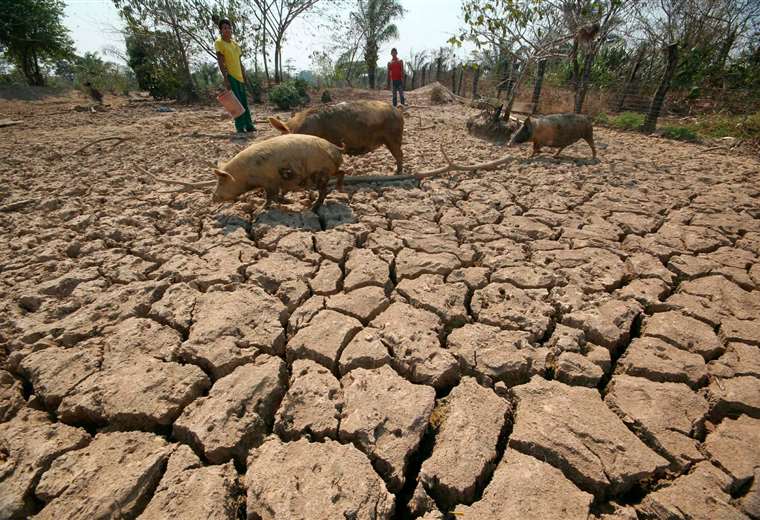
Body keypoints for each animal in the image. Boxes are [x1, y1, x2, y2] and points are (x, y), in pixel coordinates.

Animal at [214, 134, 344, 211]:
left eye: (221, 182)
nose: (213, 198)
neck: (244, 174)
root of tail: (335, 147)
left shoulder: (269, 182)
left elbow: (271, 197)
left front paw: (260, 209)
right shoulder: (274, 183)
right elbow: (276, 195)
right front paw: (288, 201)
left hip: (321, 173)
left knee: (324, 191)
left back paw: (312, 208)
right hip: (330, 170)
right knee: (341, 172)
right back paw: (339, 188)